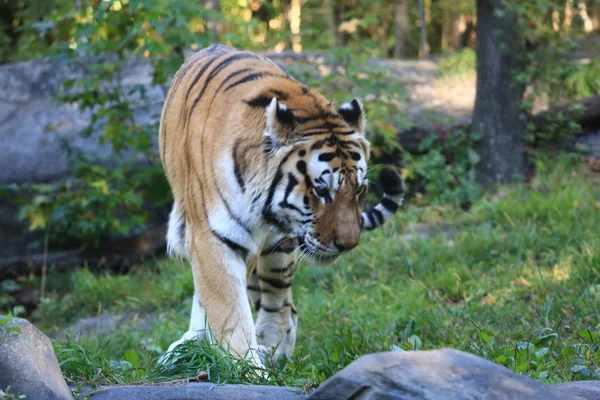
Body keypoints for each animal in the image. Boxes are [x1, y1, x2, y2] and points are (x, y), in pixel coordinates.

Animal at [157, 45, 406, 368]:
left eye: (360, 189)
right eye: (321, 190)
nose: (349, 244)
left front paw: (248, 363)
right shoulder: (212, 236)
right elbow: (229, 310)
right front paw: (244, 367)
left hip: (279, 248)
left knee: (281, 302)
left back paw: (271, 348)